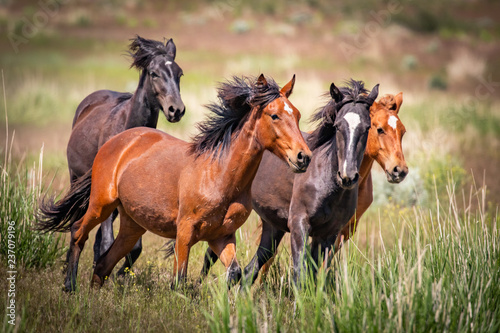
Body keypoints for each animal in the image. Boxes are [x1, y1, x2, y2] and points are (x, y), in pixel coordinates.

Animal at [39, 73, 310, 290]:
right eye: (274, 115)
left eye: (297, 115)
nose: (303, 157)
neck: (219, 175)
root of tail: (115, 141)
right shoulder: (185, 231)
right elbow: (178, 280)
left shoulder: (222, 236)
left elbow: (234, 272)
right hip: (101, 204)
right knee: (78, 232)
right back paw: (70, 286)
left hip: (132, 224)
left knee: (105, 262)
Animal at [65, 35, 185, 274]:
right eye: (154, 73)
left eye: (180, 74)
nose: (176, 110)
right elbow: (107, 241)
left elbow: (133, 247)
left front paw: (119, 274)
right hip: (77, 180)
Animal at [199, 78, 378, 282]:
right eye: (338, 126)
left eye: (367, 127)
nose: (347, 176)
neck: (327, 185)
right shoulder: (299, 224)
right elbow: (299, 274)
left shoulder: (328, 235)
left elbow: (314, 275)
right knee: (212, 257)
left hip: (273, 227)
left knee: (249, 270)